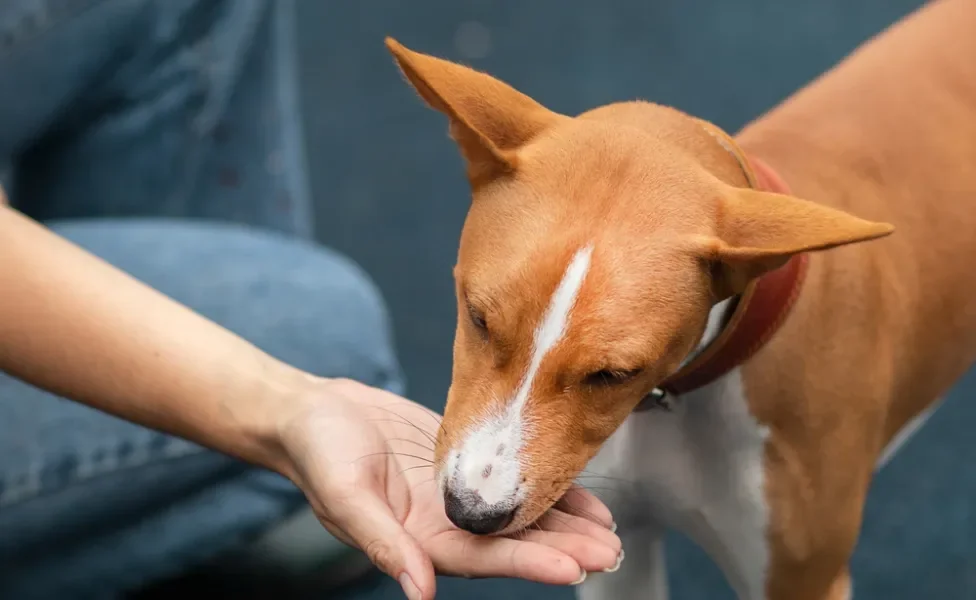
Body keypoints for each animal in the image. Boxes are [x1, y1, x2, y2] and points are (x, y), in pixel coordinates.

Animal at [384, 2, 976, 596]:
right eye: (478, 318)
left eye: (614, 375)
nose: (471, 512)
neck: (674, 398)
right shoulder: (621, 549)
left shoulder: (803, 581)